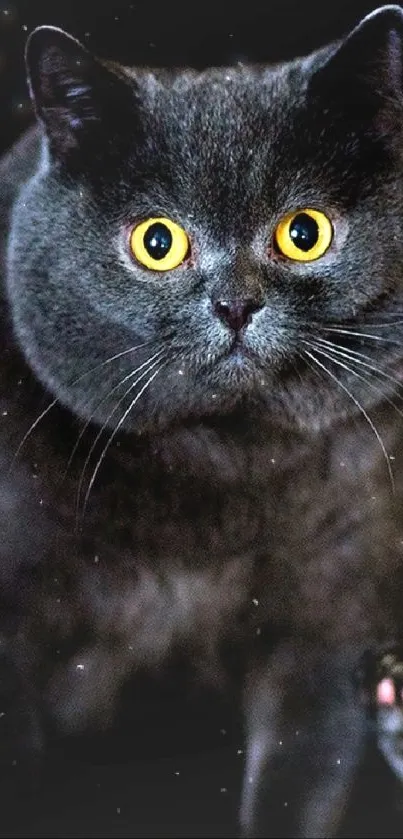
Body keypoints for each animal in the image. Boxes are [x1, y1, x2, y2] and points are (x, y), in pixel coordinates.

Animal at [0, 4, 403, 832]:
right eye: (157, 242)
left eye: (304, 232)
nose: (235, 303)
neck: (220, 462)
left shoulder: (330, 618)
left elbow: (298, 778)